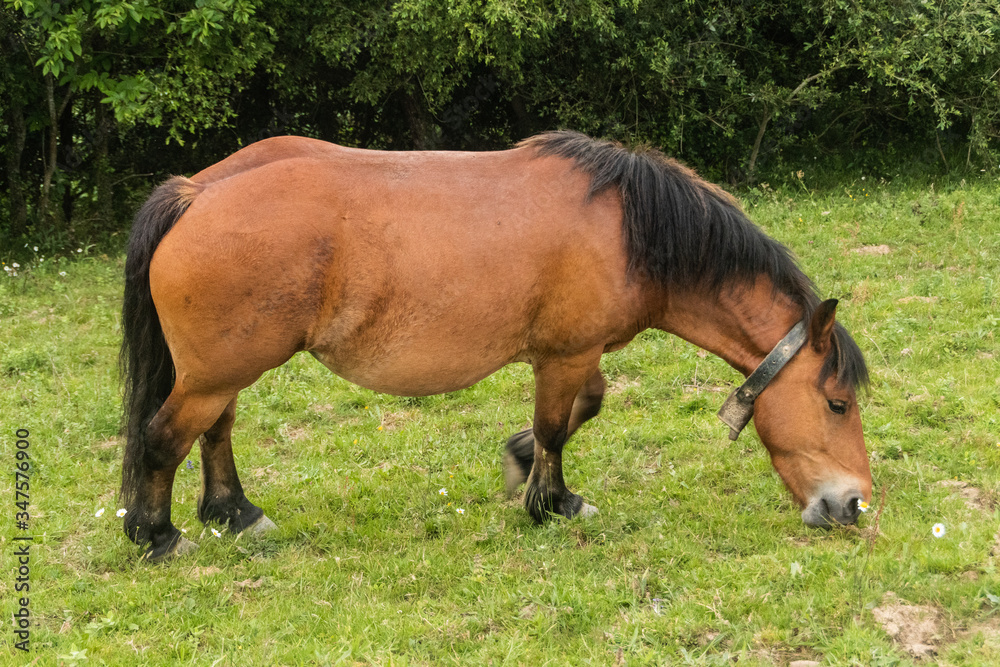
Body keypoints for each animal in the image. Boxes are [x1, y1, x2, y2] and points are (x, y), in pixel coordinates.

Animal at [115, 129, 868, 560]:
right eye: (837, 404)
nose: (852, 506)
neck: (629, 228)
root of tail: (196, 192)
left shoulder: (576, 354)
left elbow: (582, 410)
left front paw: (520, 465)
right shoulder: (565, 355)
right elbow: (559, 426)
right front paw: (552, 502)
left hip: (221, 370)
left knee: (215, 431)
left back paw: (235, 513)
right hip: (215, 371)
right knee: (164, 438)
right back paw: (158, 536)